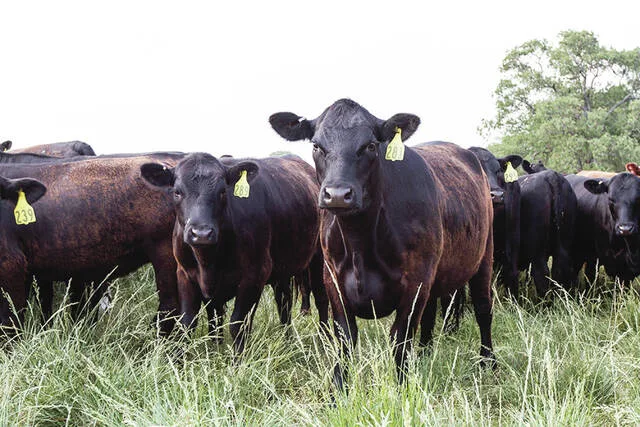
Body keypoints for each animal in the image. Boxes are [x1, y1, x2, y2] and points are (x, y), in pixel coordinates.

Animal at [140, 153, 329, 353]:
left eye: (223, 191)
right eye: (177, 192)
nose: (201, 233)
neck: (208, 262)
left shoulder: (254, 275)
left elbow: (238, 324)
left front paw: (238, 360)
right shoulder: (185, 274)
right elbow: (188, 322)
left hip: (318, 259)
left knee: (321, 298)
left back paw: (324, 341)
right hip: (282, 267)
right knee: (284, 301)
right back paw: (288, 340)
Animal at [269, 99, 495, 387]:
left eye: (370, 145)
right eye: (316, 145)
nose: (338, 195)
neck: (361, 244)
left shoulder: (416, 281)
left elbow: (400, 338)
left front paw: (402, 386)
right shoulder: (333, 280)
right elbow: (345, 338)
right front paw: (338, 389)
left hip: (484, 255)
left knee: (483, 308)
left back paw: (488, 360)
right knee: (430, 316)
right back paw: (425, 354)